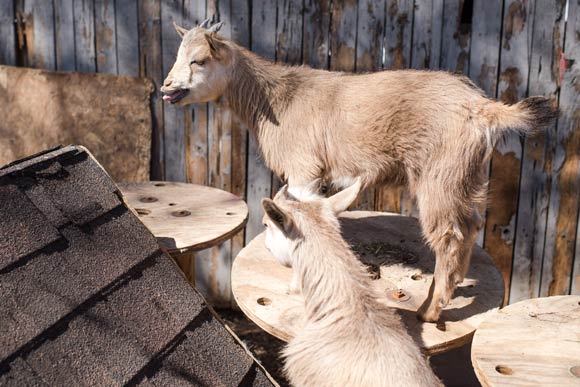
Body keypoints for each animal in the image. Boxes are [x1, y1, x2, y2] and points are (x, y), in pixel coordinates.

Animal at [162, 19, 556, 322]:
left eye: (199, 60)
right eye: (179, 54)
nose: (167, 86)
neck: (279, 99)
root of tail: (482, 108)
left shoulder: (304, 170)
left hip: (439, 178)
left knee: (449, 235)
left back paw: (430, 310)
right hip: (464, 176)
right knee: (471, 225)